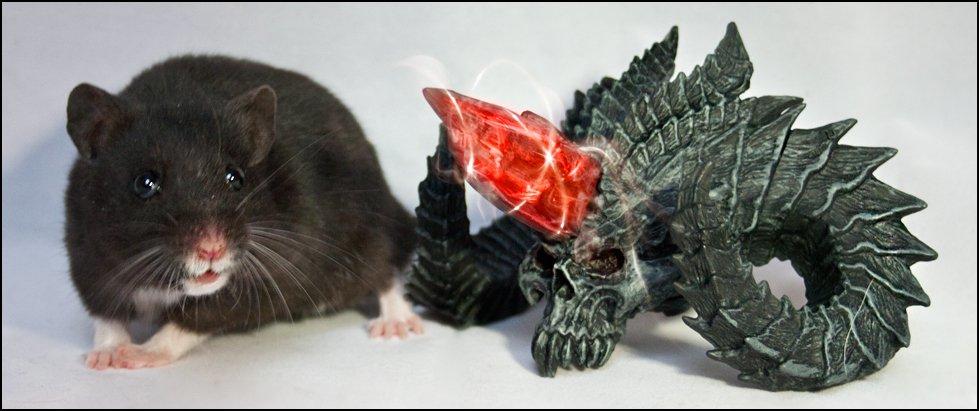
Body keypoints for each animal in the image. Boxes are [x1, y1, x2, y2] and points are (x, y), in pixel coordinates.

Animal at [64, 55, 421, 370]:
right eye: (144, 183)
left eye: (235, 177)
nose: (213, 249)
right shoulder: (88, 263)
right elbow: (106, 316)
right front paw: (105, 358)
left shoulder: (261, 280)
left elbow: (192, 322)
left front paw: (138, 355)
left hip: (371, 237)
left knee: (386, 273)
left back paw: (397, 324)